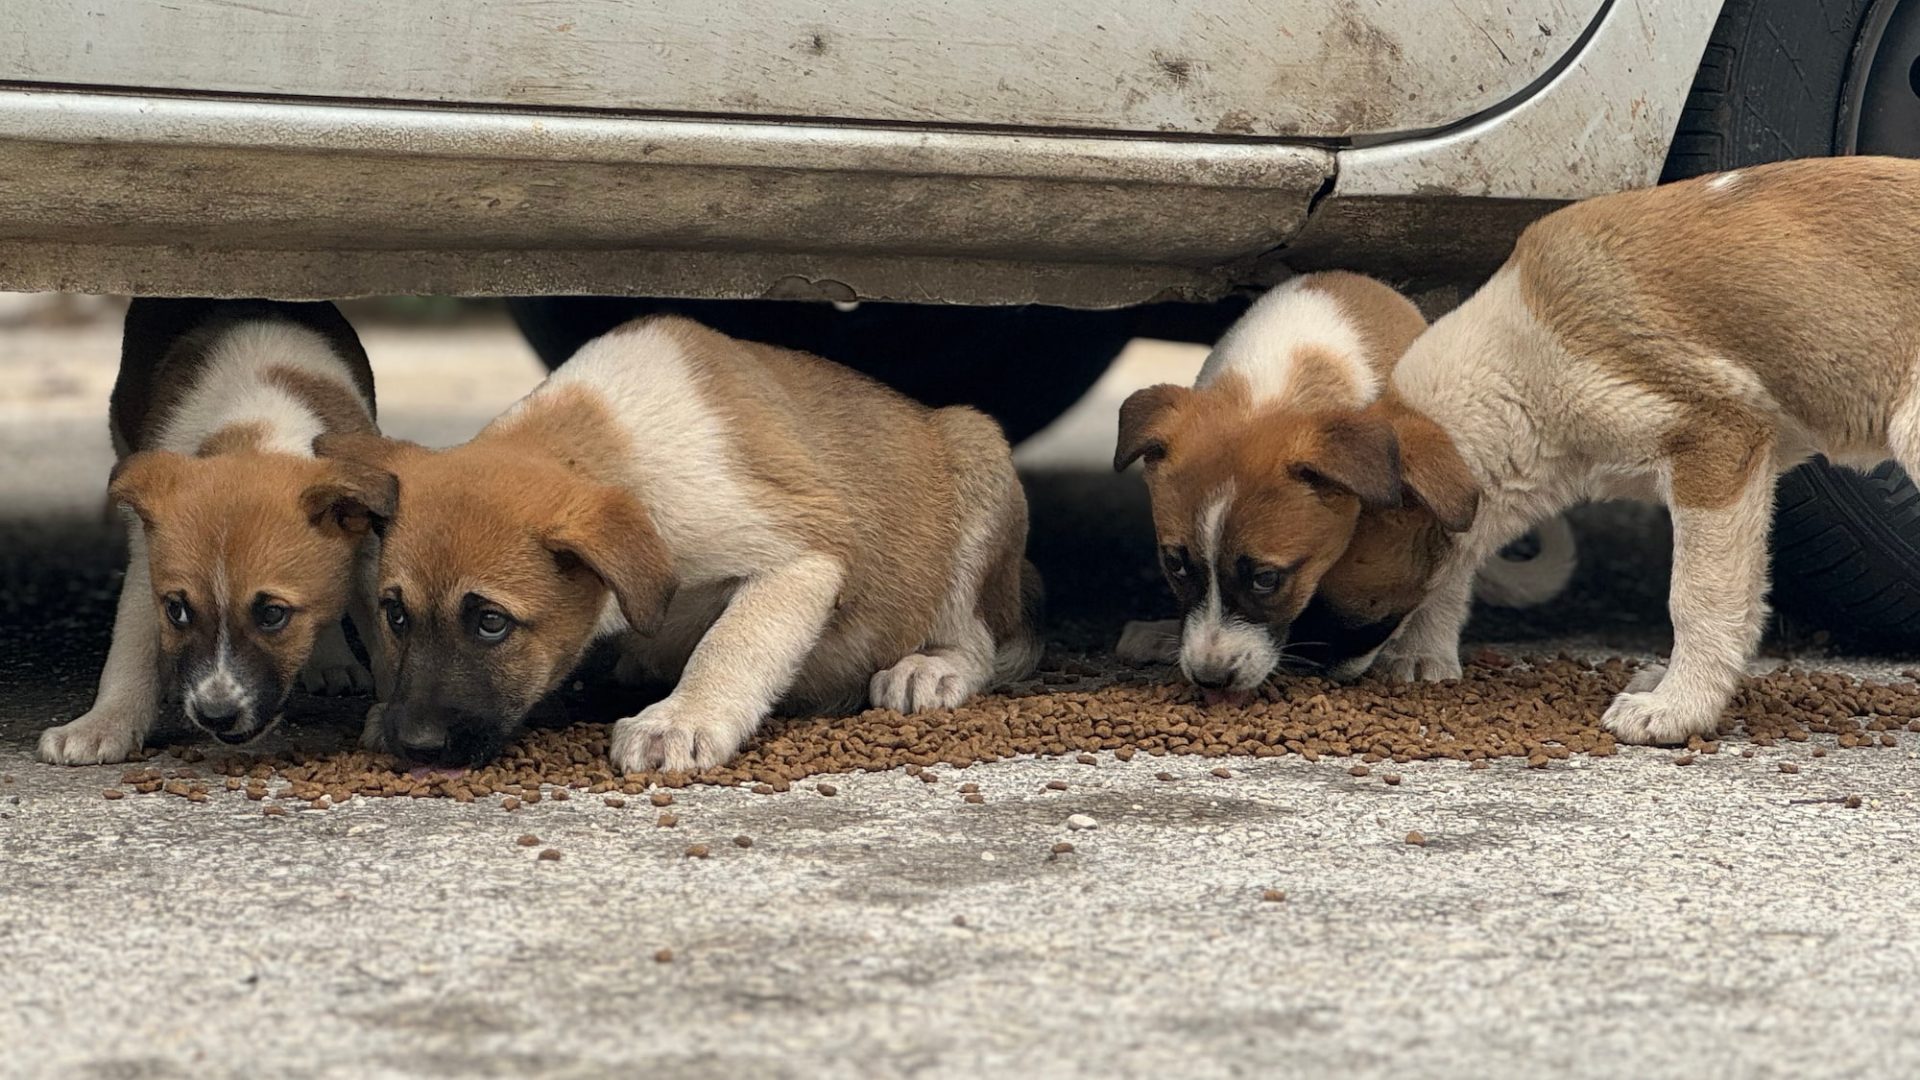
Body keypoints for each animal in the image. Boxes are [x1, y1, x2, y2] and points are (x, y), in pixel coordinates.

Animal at [40, 297, 393, 760]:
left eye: (272, 615)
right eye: (177, 610)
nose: (215, 716)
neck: (260, 428)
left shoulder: (369, 549)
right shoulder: (147, 561)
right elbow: (131, 647)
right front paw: (103, 725)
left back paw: (332, 661)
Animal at [318, 315, 1036, 768]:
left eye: (491, 622)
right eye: (395, 614)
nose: (416, 747)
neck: (609, 443)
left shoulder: (804, 554)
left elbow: (732, 645)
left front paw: (683, 720)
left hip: (977, 467)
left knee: (979, 638)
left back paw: (931, 667)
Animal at [1290, 157, 1920, 737]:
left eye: (1310, 575)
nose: (1300, 675)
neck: (1519, 362)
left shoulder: (1716, 443)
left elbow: (1698, 597)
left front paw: (1677, 707)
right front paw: (1423, 656)